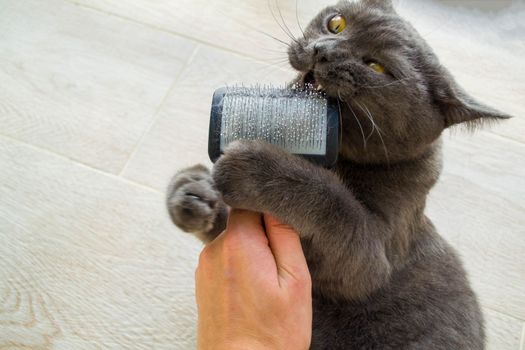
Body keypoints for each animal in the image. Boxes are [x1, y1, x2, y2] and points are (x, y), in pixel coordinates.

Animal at [167, 1, 508, 348]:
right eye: (336, 23)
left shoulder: (373, 256)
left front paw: (255, 165)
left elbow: (333, 204)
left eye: (377, 66)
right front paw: (193, 191)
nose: (323, 50)